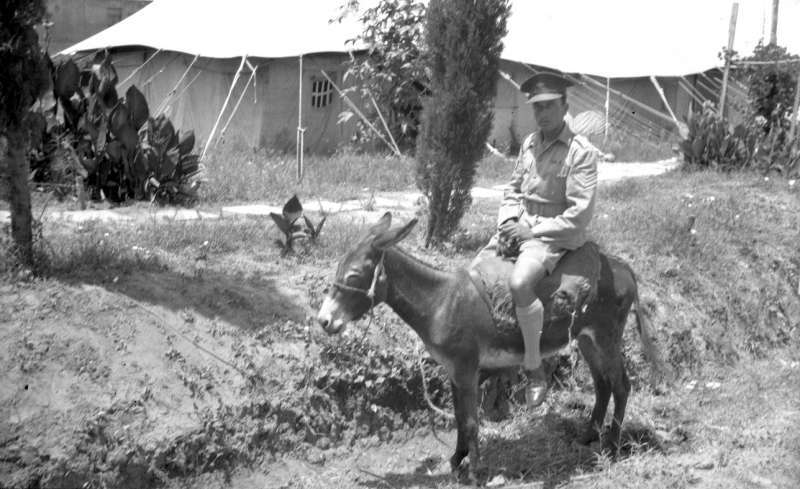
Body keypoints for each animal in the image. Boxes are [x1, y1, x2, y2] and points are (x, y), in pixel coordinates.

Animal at [317, 212, 660, 485]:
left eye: (353, 275)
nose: (323, 321)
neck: (441, 301)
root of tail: (623, 266)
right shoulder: (455, 371)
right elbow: (459, 416)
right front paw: (457, 461)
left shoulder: (466, 368)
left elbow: (470, 420)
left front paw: (474, 471)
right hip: (587, 339)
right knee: (603, 384)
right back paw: (589, 436)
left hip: (606, 337)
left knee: (621, 385)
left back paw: (612, 447)